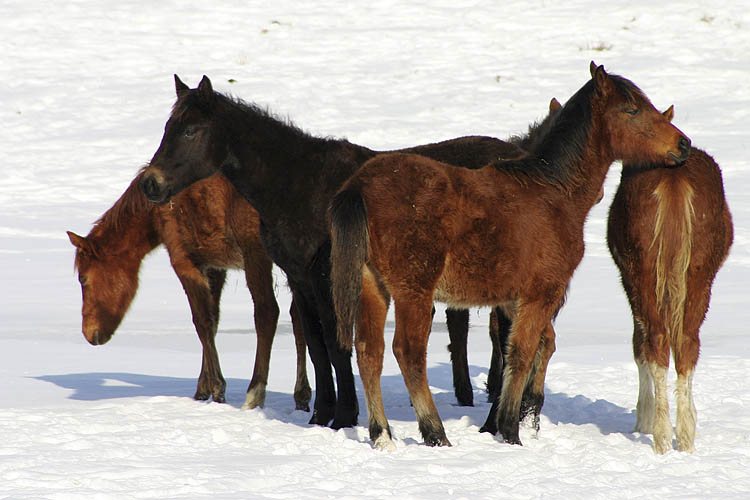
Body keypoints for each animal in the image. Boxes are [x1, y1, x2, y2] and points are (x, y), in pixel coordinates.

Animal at [67, 170, 312, 411]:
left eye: (83, 278)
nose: (89, 333)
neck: (155, 211)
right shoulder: (214, 267)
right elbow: (213, 321)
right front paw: (202, 388)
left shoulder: (183, 261)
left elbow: (202, 322)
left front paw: (217, 387)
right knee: (298, 317)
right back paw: (301, 394)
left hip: (256, 253)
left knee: (267, 313)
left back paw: (255, 394)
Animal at [138, 74, 546, 428]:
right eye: (167, 128)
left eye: (191, 130)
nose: (150, 184)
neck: (302, 187)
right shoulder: (300, 280)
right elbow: (317, 348)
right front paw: (321, 415)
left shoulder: (328, 278)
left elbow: (337, 346)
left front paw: (345, 416)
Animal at [329, 62, 691, 449]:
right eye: (631, 110)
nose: (682, 144)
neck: (553, 192)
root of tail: (359, 186)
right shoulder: (539, 294)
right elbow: (521, 353)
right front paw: (510, 431)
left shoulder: (509, 300)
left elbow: (519, 353)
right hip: (414, 291)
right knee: (408, 353)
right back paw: (435, 433)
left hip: (372, 286)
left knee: (370, 352)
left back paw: (382, 435)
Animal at [607, 106, 732, 454]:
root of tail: (673, 183)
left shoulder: (628, 278)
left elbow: (639, 344)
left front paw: (644, 417)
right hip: (696, 273)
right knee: (682, 342)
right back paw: (680, 434)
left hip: (645, 272)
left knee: (660, 341)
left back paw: (665, 435)